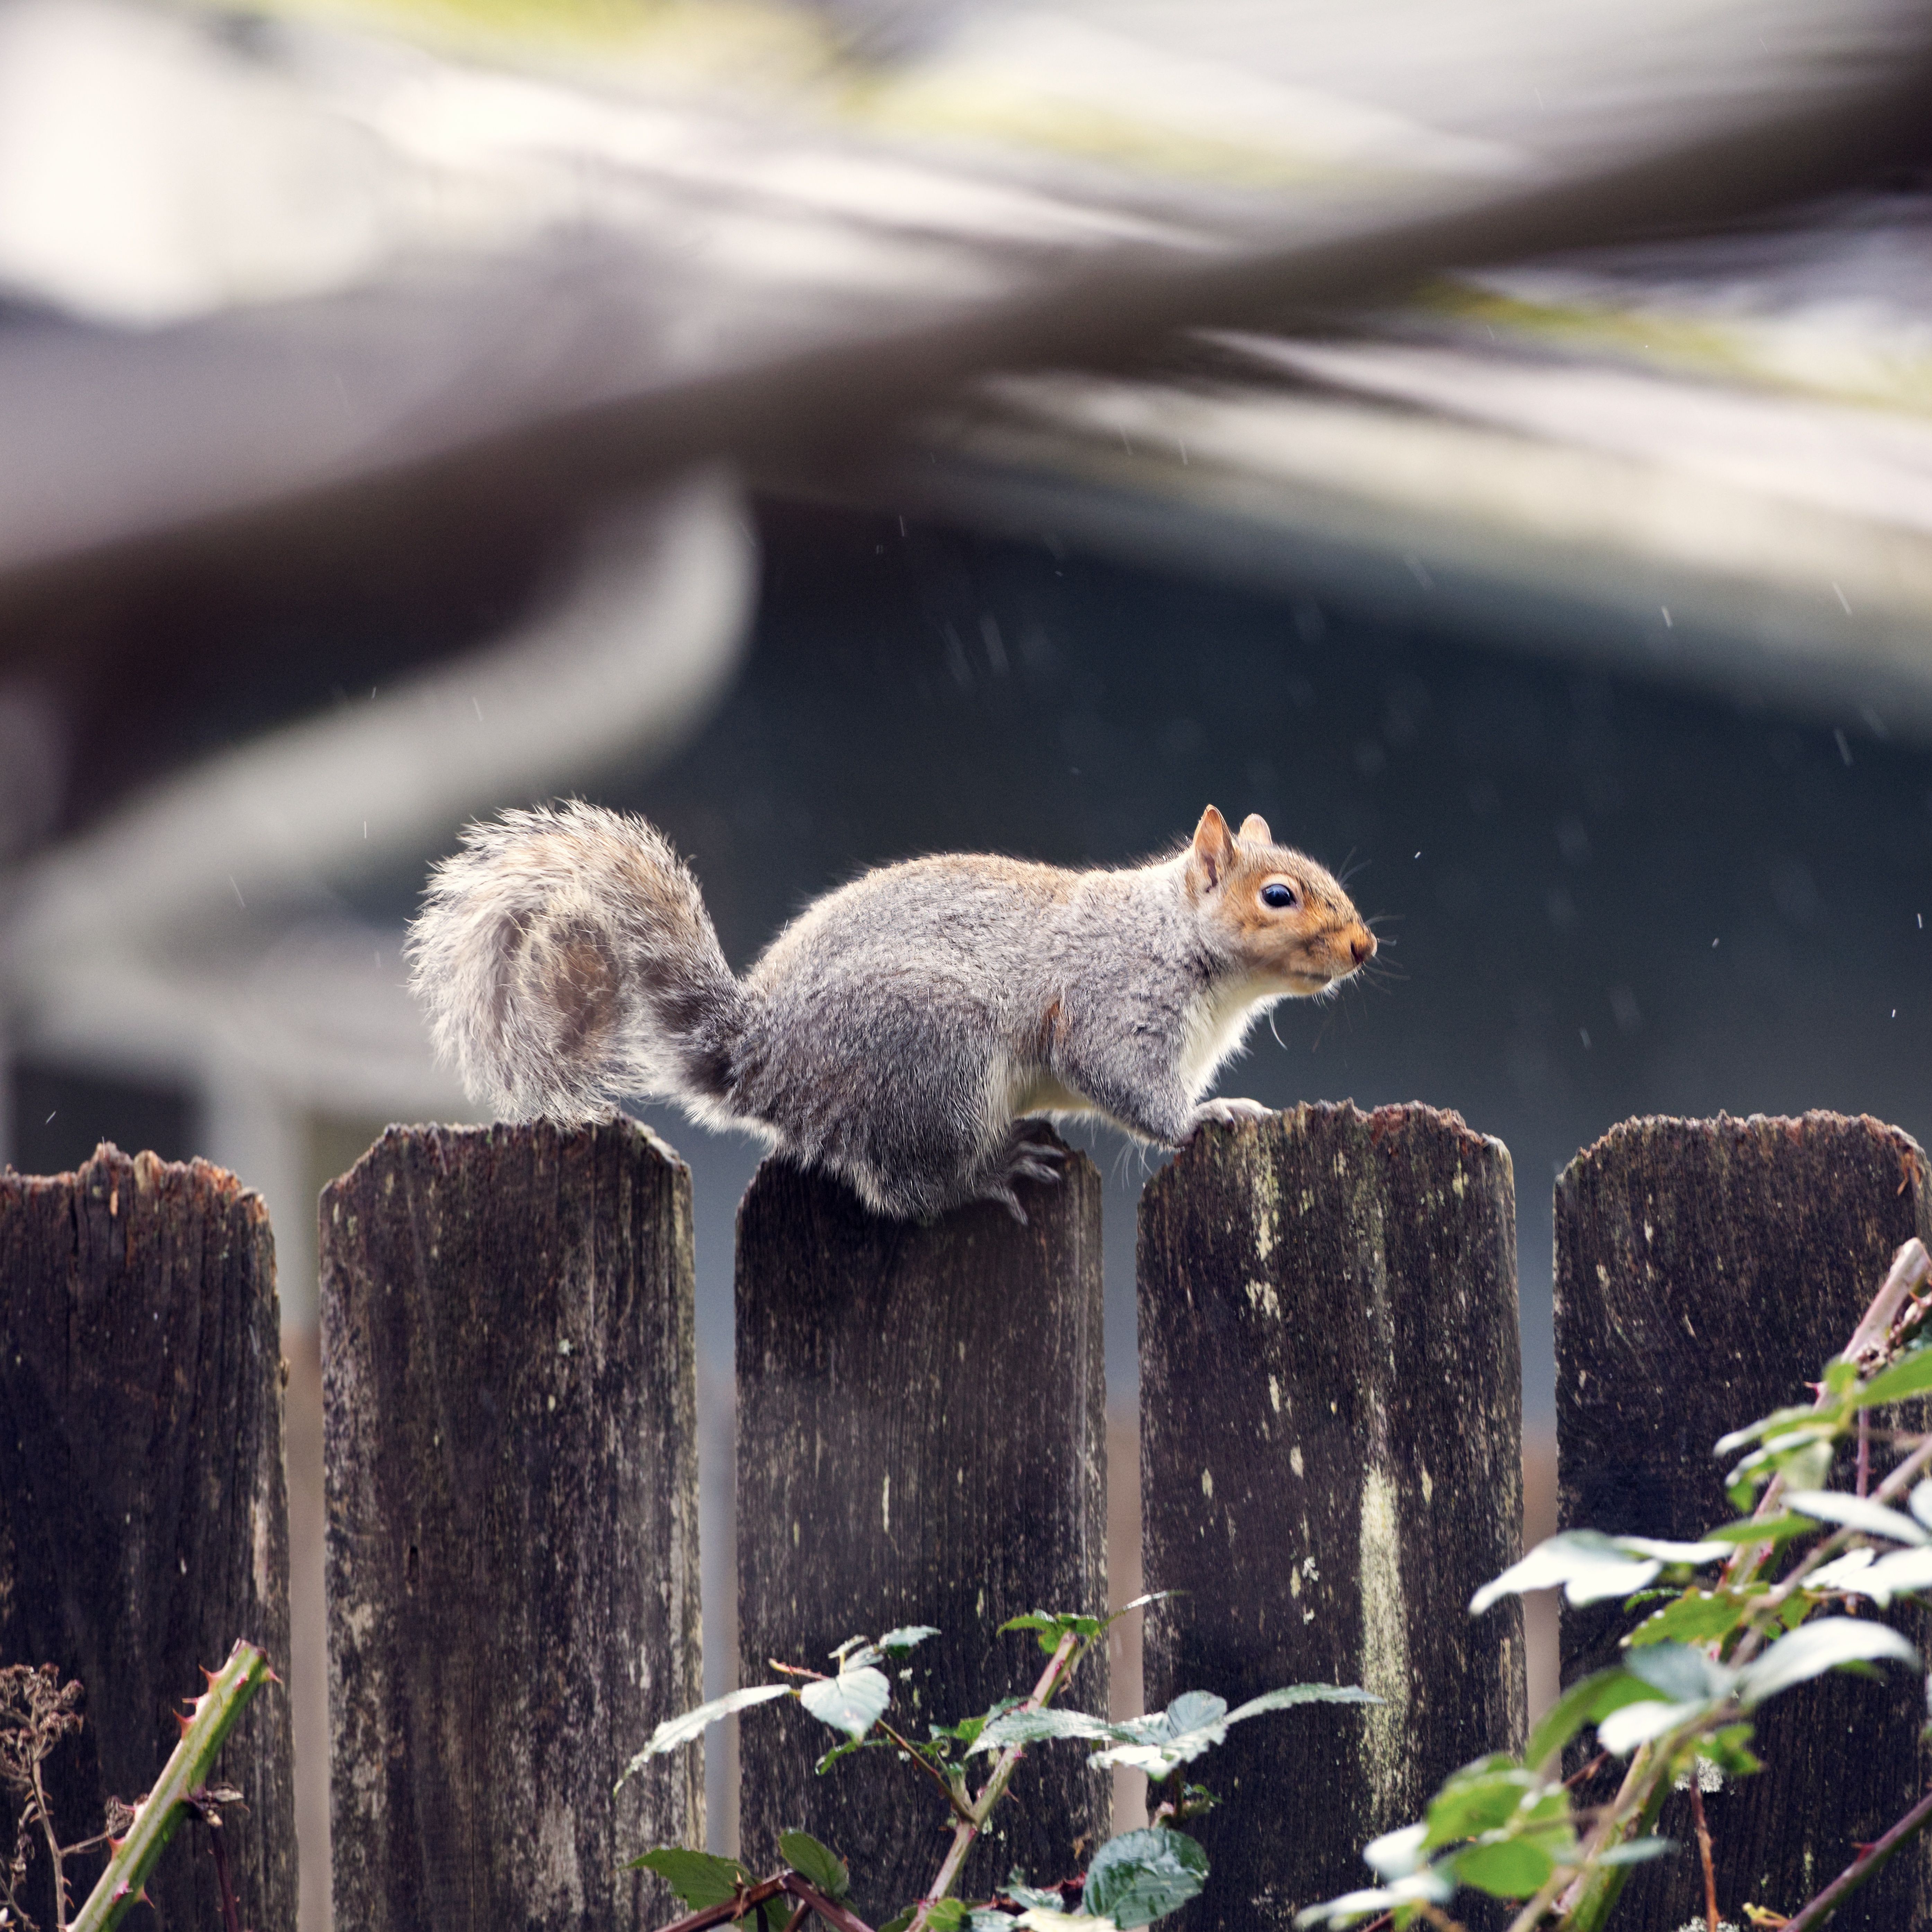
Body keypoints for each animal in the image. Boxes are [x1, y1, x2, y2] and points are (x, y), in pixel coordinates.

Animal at [406, 801, 1377, 1221]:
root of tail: (763, 1054)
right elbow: (1126, 1086)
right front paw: (1207, 1113)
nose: (1362, 946)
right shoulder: (1113, 1002)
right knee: (909, 1189)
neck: (1180, 943)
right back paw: (989, 1171)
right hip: (936, 1053)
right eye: (1279, 895)